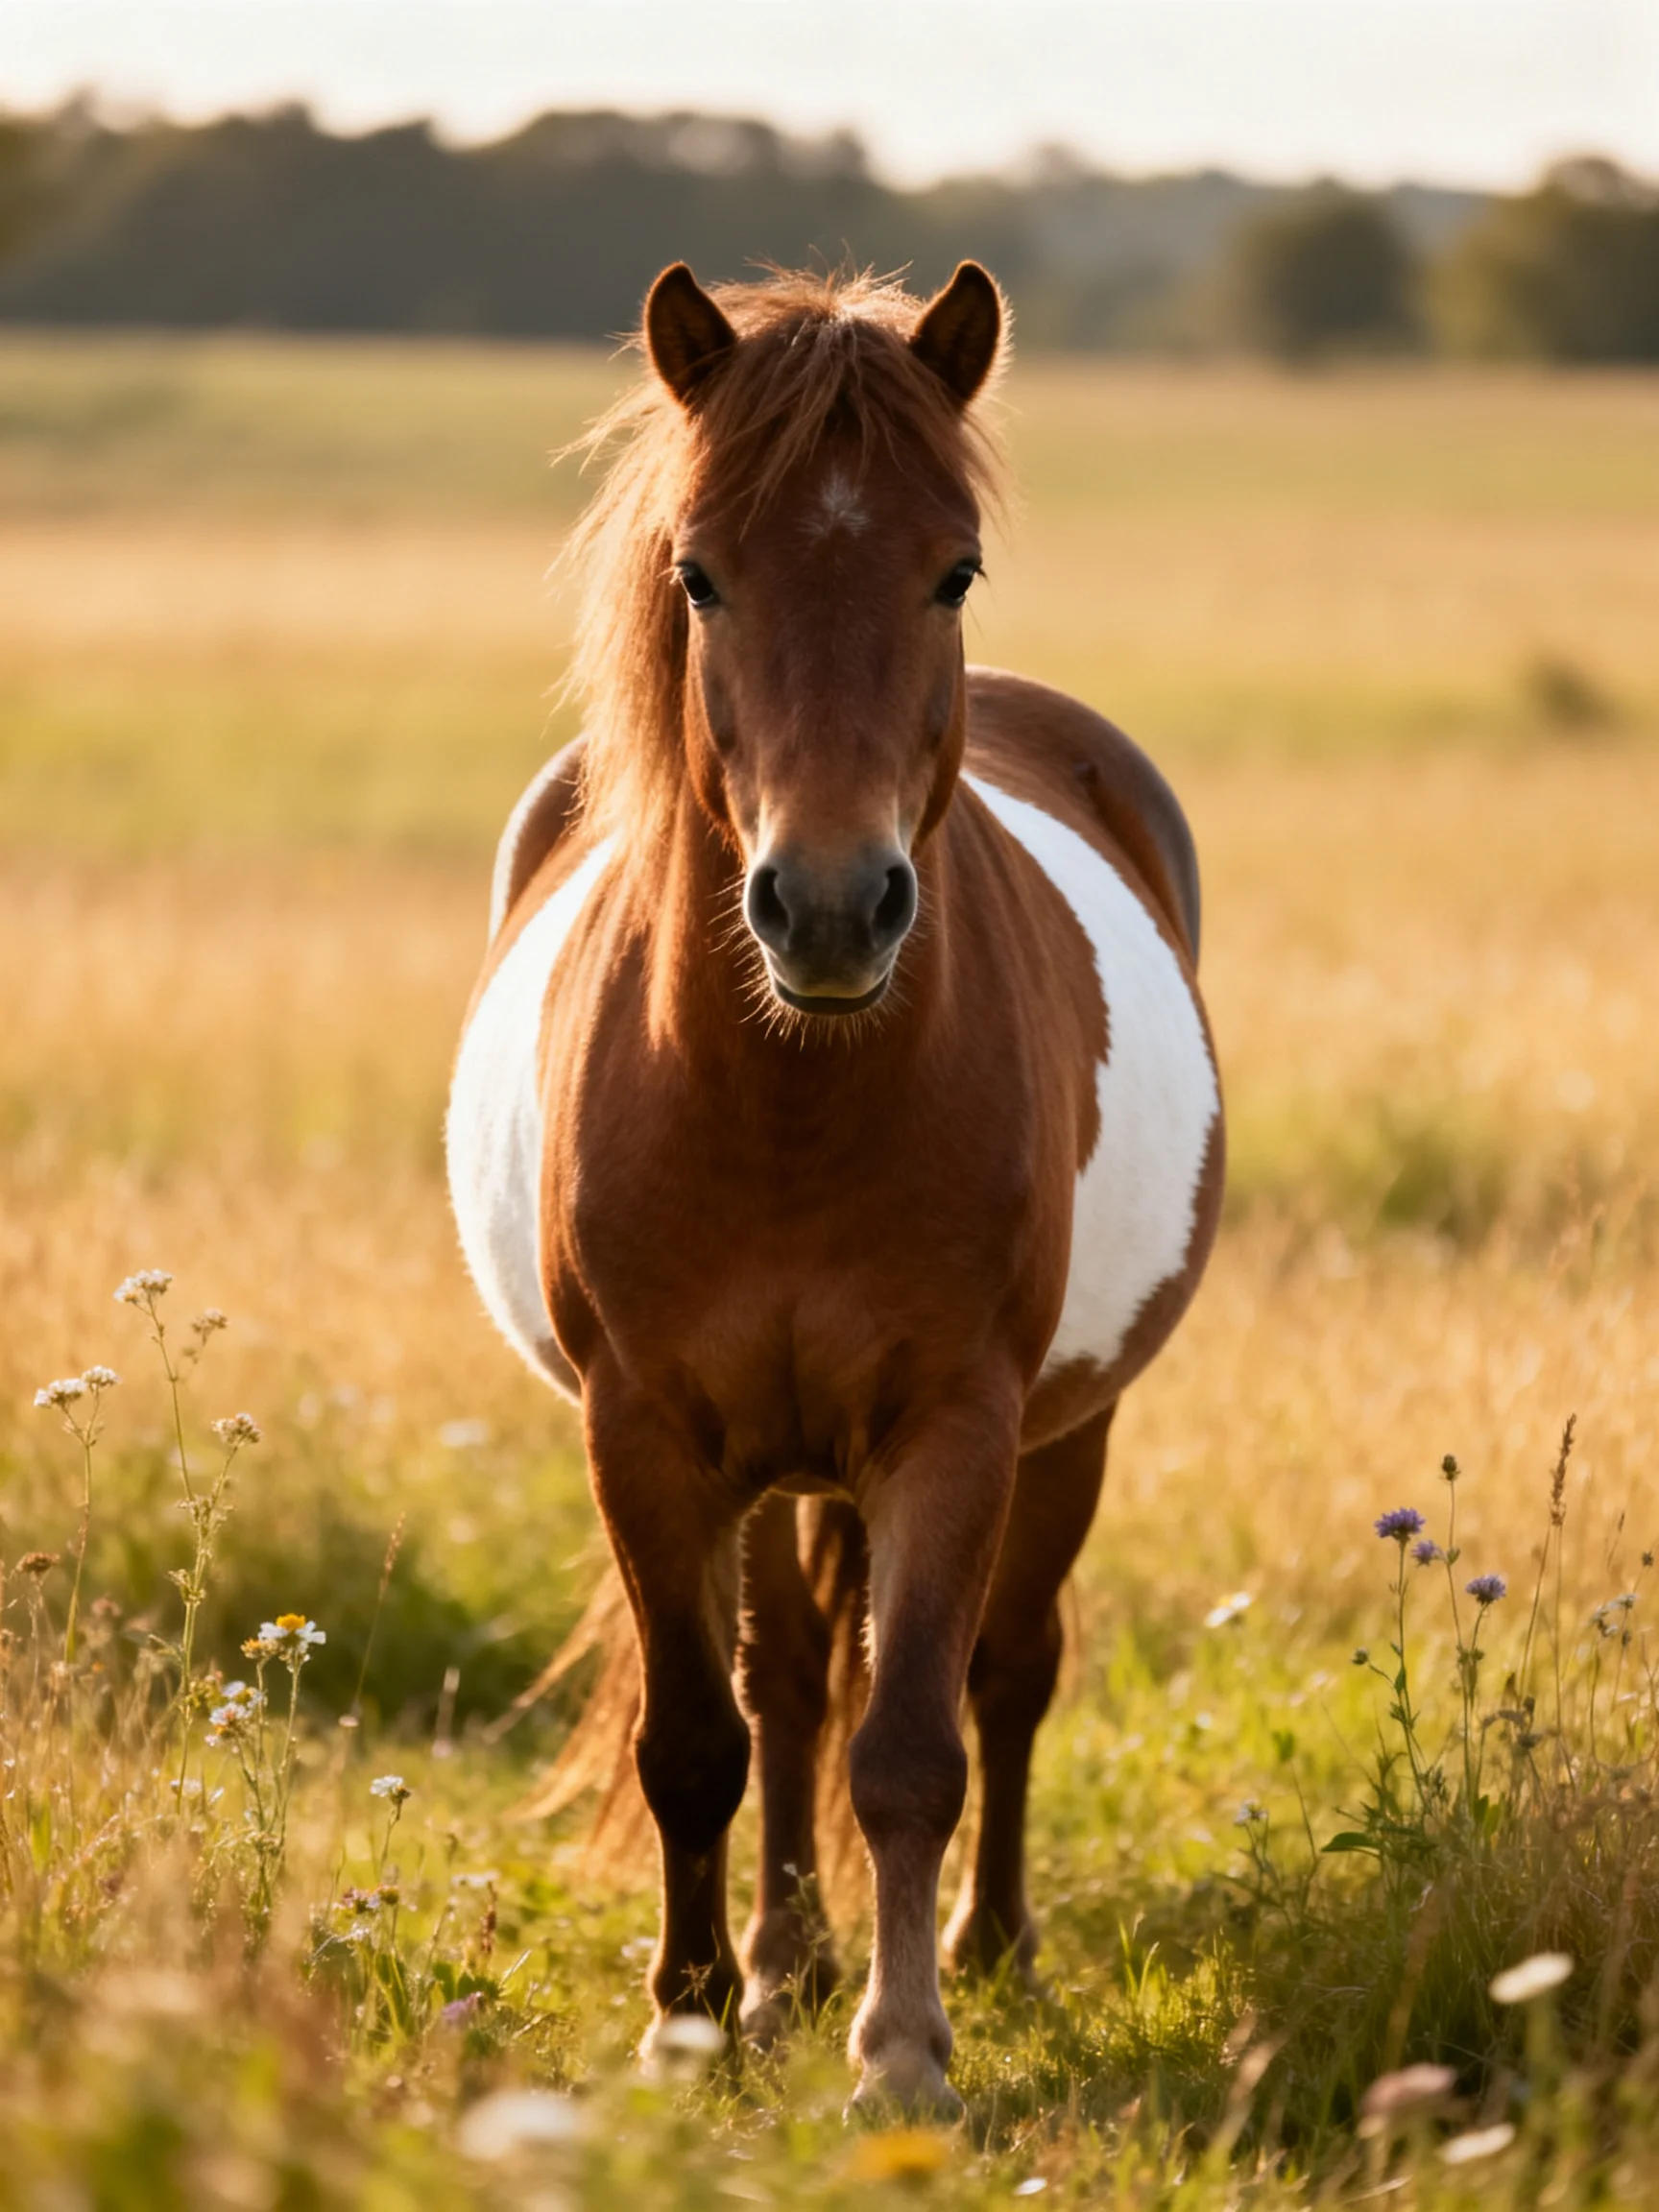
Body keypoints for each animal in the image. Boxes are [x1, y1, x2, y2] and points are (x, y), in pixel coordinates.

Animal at [447, 259, 1223, 2115]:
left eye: (954, 568)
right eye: (698, 572)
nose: (826, 906)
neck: (794, 1097)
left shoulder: (952, 1426)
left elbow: (914, 1742)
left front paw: (905, 2055)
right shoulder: (646, 1433)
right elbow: (696, 1736)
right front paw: (686, 2019)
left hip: (1060, 1431)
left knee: (1005, 1671)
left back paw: (982, 1946)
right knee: (788, 1683)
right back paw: (782, 1961)